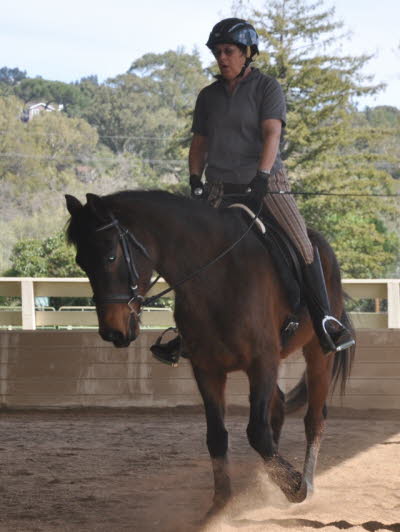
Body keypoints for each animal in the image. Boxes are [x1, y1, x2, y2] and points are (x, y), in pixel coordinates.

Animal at [65, 190, 356, 516]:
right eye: (81, 262)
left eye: (111, 257)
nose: (112, 332)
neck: (216, 277)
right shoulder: (207, 369)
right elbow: (217, 436)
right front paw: (221, 503)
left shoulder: (262, 362)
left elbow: (257, 431)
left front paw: (295, 486)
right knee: (279, 407)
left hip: (318, 352)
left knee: (314, 418)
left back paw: (307, 482)